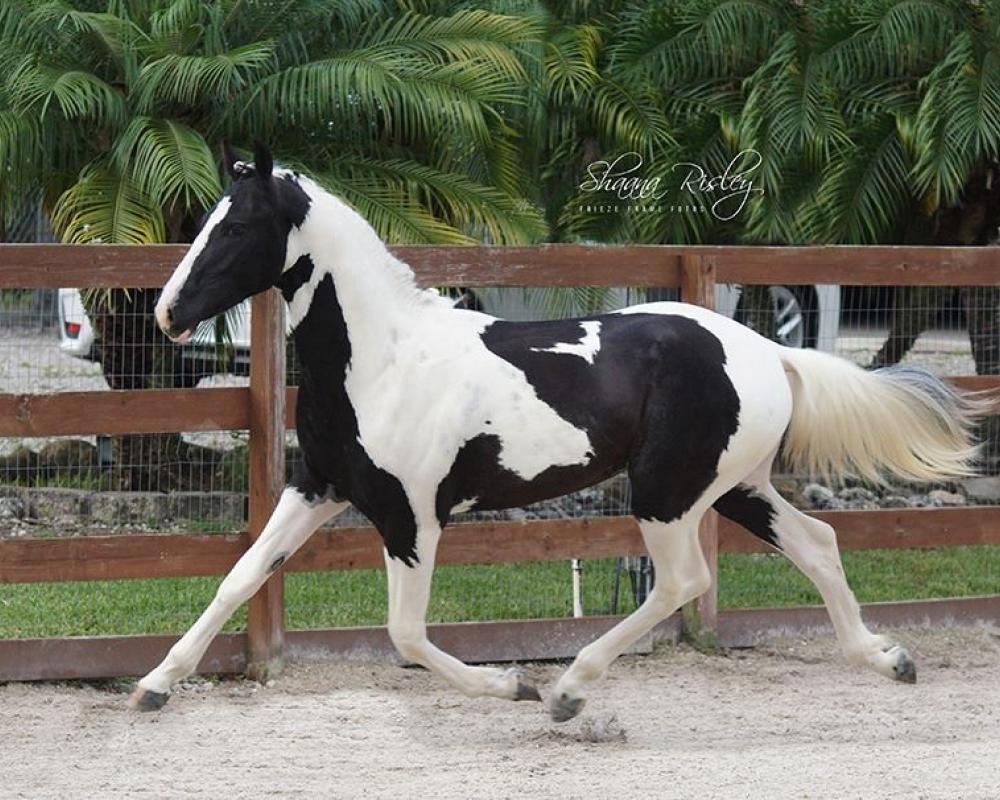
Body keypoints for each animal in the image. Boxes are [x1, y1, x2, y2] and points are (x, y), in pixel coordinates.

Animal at [130, 142, 988, 721]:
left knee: (684, 581)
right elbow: (240, 577)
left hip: (668, 493)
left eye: (237, 228)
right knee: (817, 544)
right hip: (733, 487)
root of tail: (769, 351)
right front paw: (152, 686)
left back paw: (569, 689)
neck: (384, 359)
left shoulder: (412, 518)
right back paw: (888, 659)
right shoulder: (318, 488)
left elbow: (404, 633)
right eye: (207, 221)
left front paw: (511, 683)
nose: (167, 313)